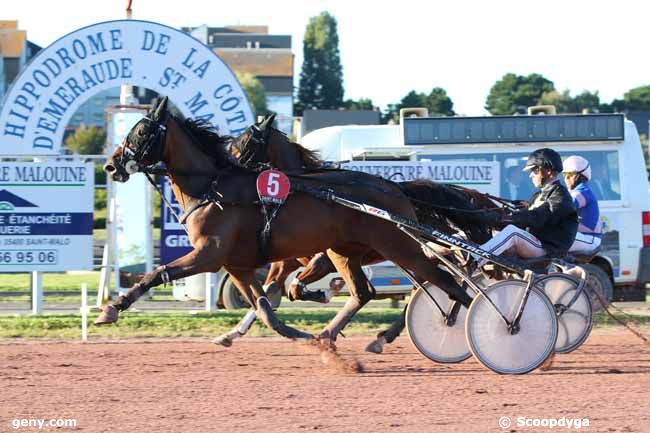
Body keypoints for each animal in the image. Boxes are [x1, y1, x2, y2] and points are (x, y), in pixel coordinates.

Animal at [96, 95, 470, 344]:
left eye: (140, 131)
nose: (111, 166)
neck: (214, 189)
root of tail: (394, 188)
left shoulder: (209, 255)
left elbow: (157, 272)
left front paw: (111, 308)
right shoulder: (240, 264)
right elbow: (265, 305)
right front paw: (292, 334)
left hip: (398, 246)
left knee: (448, 283)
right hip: (351, 252)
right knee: (374, 291)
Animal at [210, 114, 494, 348]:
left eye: (242, 143)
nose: (225, 171)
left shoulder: (324, 258)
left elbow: (298, 288)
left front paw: (327, 292)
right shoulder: (287, 260)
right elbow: (269, 292)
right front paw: (231, 334)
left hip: (417, 250)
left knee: (443, 277)